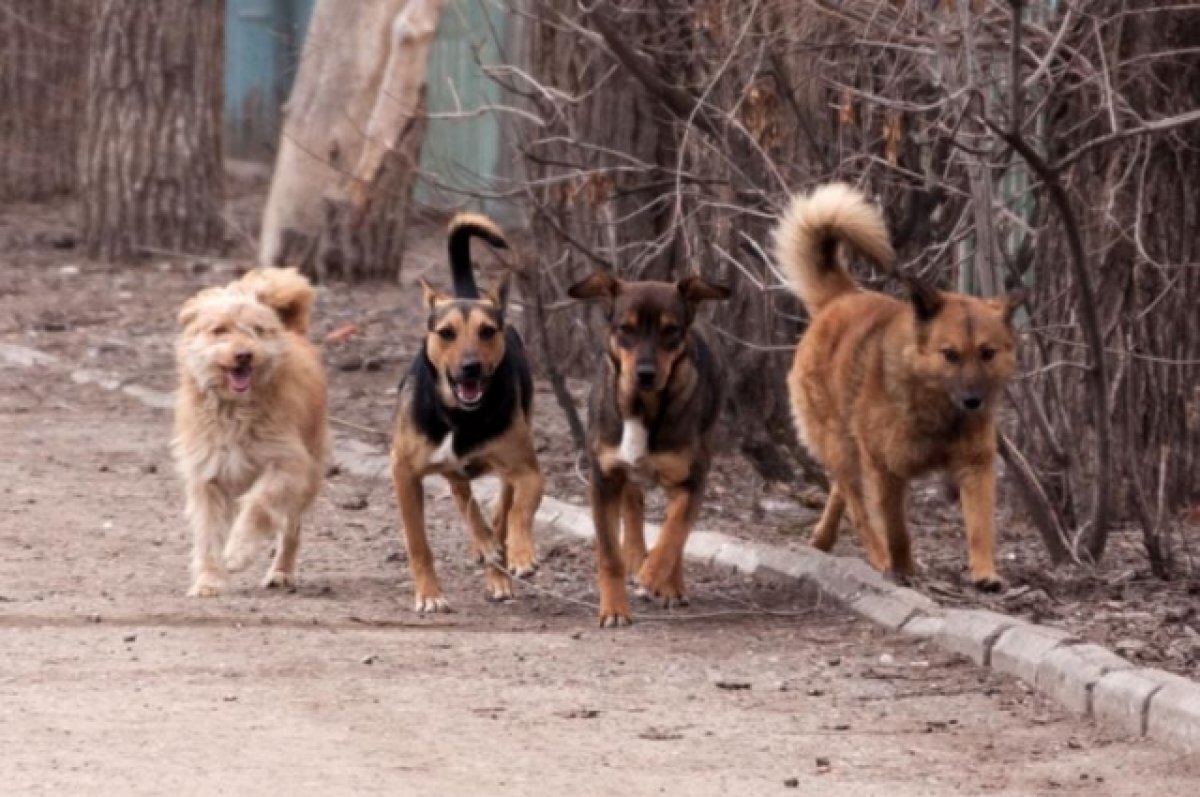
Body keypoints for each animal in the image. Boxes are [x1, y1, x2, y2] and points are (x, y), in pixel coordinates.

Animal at [172, 268, 328, 597]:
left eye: (256, 330)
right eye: (219, 330)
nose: (244, 354)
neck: (234, 409)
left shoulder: (288, 464)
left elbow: (258, 504)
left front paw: (238, 552)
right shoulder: (207, 477)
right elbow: (208, 535)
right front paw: (209, 581)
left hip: (308, 476)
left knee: (291, 529)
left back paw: (281, 572)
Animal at [388, 211, 544, 609]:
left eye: (487, 331)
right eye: (446, 333)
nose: (470, 367)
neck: (460, 416)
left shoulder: (526, 469)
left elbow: (519, 511)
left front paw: (520, 554)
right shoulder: (404, 473)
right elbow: (418, 541)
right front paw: (429, 594)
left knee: (500, 508)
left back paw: (497, 564)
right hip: (448, 468)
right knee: (463, 497)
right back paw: (484, 544)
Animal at [568, 273, 729, 628]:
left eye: (670, 330)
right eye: (625, 328)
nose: (645, 373)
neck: (641, 408)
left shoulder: (691, 480)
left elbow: (674, 533)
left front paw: (653, 577)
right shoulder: (604, 479)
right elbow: (609, 554)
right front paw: (614, 608)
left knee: (675, 527)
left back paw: (670, 583)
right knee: (633, 501)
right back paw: (634, 554)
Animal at [777, 182, 1022, 590]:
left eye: (987, 353)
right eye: (950, 355)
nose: (974, 401)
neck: (937, 409)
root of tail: (841, 298)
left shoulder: (976, 466)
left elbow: (980, 526)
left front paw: (985, 572)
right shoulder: (885, 469)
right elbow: (896, 529)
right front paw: (902, 565)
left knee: (841, 492)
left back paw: (824, 538)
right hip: (841, 446)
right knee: (857, 505)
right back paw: (877, 557)